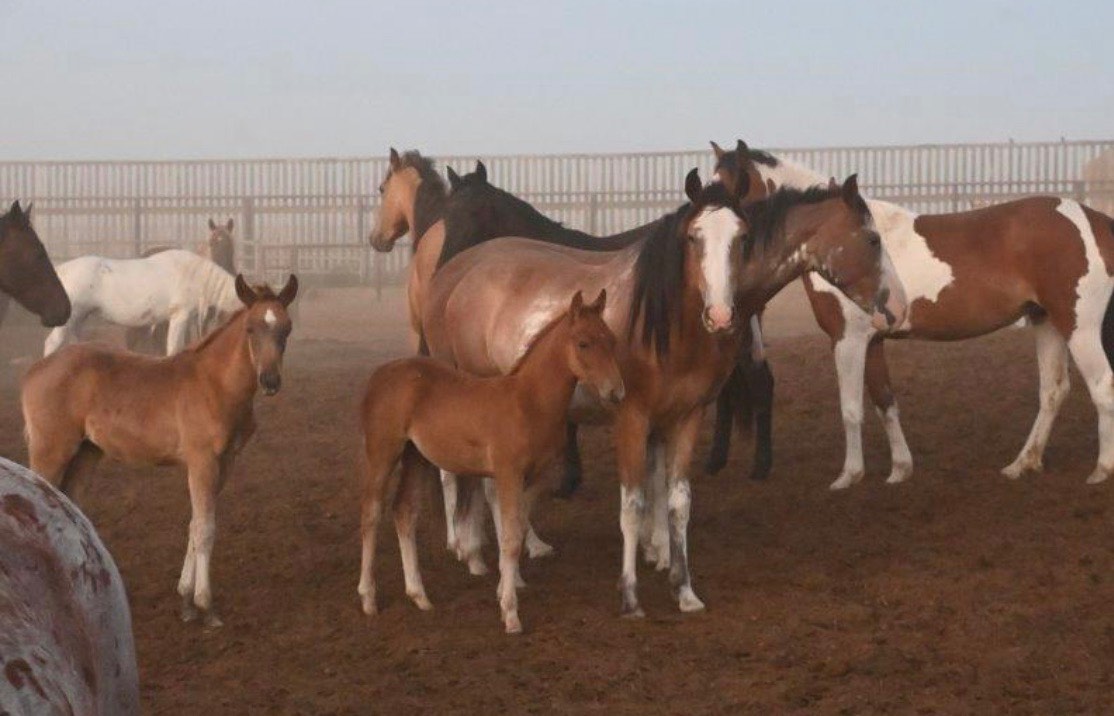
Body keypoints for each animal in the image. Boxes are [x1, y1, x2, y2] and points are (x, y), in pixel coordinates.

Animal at [22, 275, 298, 627]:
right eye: (250, 328)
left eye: (287, 328)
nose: (270, 380)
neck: (215, 384)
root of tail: (36, 370)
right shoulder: (202, 461)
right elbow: (205, 529)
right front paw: (207, 607)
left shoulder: (225, 463)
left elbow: (195, 524)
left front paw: (186, 602)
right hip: (50, 451)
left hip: (85, 453)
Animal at [44, 249, 242, 357]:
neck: (195, 274)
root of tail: (62, 270)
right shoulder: (180, 315)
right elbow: (174, 347)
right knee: (51, 343)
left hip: (78, 319)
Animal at [358, 290, 623, 634]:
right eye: (583, 343)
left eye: (612, 340)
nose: (616, 392)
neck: (528, 402)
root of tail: (379, 375)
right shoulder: (508, 473)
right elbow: (509, 538)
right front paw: (510, 613)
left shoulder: (534, 476)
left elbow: (519, 529)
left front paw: (503, 588)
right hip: (383, 451)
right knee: (371, 513)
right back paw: (368, 598)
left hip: (416, 456)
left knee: (404, 512)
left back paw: (419, 596)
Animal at [423, 167, 905, 616]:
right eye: (873, 239)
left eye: (743, 238)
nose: (898, 307)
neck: (667, 324)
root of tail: (454, 279)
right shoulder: (632, 420)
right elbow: (633, 504)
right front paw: (632, 592)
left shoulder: (683, 417)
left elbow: (675, 501)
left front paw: (680, 583)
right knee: (469, 479)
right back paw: (481, 554)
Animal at [713, 140, 1114, 488]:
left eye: (736, 187)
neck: (842, 241)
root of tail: (1093, 219)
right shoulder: (873, 341)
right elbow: (884, 403)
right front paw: (900, 470)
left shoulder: (847, 340)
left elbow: (851, 409)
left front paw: (849, 476)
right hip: (1047, 322)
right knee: (1053, 391)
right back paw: (1022, 463)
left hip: (1079, 327)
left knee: (1102, 386)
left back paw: (1101, 470)